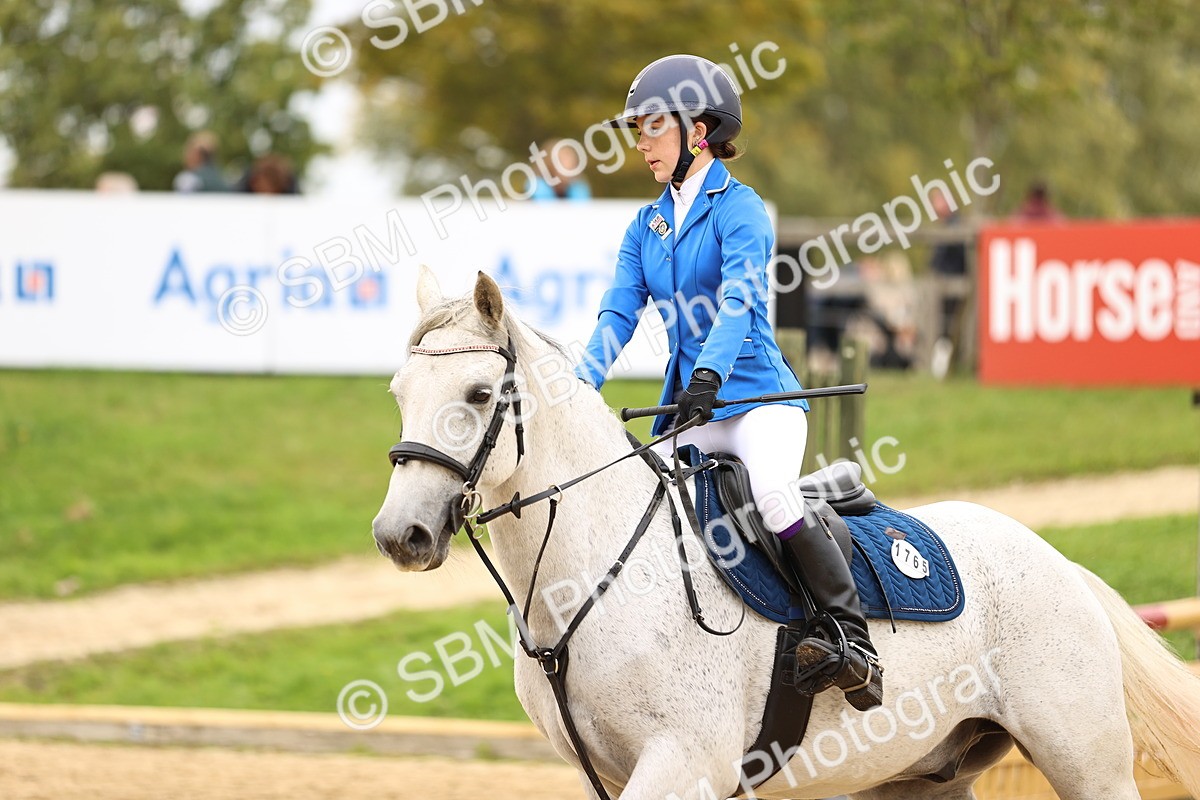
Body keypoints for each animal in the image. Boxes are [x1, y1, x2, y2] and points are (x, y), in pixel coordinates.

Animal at [371, 267, 1200, 799]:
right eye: (399, 392)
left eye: (481, 394)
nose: (398, 535)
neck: (583, 583)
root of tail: (1057, 561)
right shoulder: (599, 773)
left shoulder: (683, 763)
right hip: (924, 776)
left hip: (1088, 763)